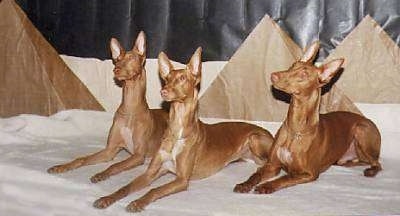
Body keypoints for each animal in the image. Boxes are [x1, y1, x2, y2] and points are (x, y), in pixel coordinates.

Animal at [47, 32, 168, 183]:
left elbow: (115, 165)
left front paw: (101, 174)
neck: (130, 109)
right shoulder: (109, 150)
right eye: (117, 59)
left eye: (131, 58)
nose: (116, 69)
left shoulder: (139, 156)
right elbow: (82, 159)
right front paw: (62, 167)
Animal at [93, 46, 276, 211]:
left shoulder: (181, 180)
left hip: (254, 138)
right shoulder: (151, 172)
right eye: (166, 79)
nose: (163, 91)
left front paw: (138, 202)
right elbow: (126, 187)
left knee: (273, 168)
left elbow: (154, 190)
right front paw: (107, 198)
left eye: (182, 79)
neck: (177, 130)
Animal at [234, 41, 382, 193]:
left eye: (303, 74)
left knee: (377, 163)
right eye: (292, 65)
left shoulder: (309, 173)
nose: (273, 75)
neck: (295, 129)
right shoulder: (272, 165)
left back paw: (371, 170)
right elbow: (256, 174)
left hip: (360, 129)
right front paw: (245, 184)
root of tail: (366, 120)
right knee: (360, 161)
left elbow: (284, 178)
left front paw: (266, 186)